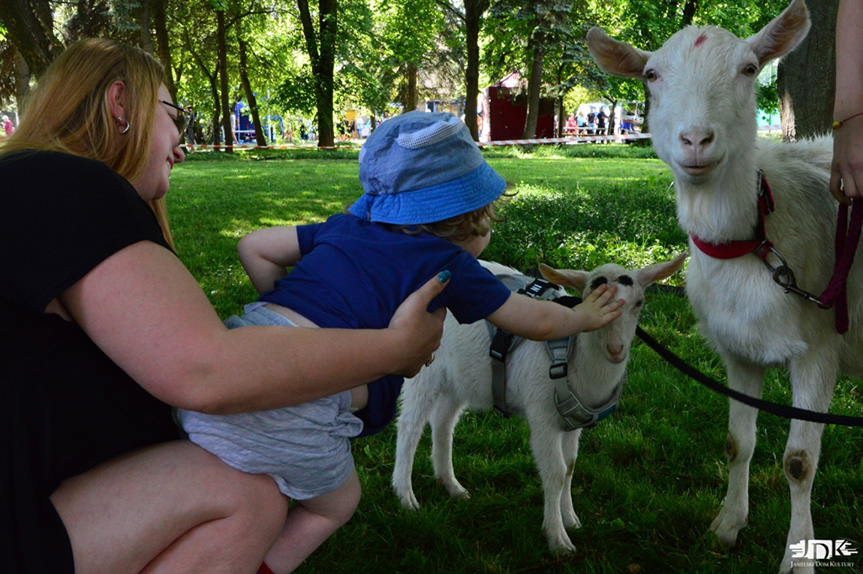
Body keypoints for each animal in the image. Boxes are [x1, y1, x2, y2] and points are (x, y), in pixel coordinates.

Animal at [394, 256, 684, 552]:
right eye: (590, 301)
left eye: (639, 303)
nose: (616, 350)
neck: (573, 357)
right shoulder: (541, 413)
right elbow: (556, 472)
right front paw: (558, 539)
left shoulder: (573, 420)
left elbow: (570, 467)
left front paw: (571, 520)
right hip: (422, 364)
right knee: (410, 426)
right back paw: (405, 495)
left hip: (460, 376)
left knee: (443, 421)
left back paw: (452, 486)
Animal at [588, 2, 863, 572]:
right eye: (651, 75)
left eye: (750, 68)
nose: (696, 140)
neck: (753, 243)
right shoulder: (738, 349)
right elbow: (738, 442)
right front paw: (727, 525)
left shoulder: (820, 347)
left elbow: (799, 462)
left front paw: (799, 556)